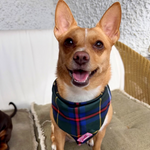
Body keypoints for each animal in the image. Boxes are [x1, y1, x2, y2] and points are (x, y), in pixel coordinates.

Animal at [49, 0, 121, 149]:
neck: (81, 97)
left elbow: (97, 144)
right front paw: (56, 145)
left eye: (99, 44)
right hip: (53, 126)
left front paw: (93, 142)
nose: (81, 57)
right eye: (69, 41)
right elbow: (59, 143)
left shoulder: (102, 131)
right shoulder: (58, 131)